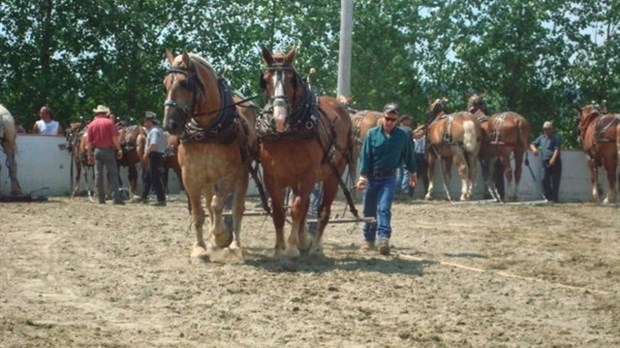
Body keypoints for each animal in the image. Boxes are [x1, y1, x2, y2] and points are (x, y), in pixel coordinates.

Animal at [162, 49, 256, 260]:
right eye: (165, 83)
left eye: (184, 83)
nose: (170, 124)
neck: (207, 130)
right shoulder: (189, 176)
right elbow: (199, 212)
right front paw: (200, 248)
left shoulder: (229, 174)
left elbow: (217, 205)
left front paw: (222, 236)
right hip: (206, 178)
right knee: (208, 201)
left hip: (243, 174)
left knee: (237, 207)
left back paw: (235, 245)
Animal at [256, 45, 354, 258]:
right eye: (265, 80)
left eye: (291, 79)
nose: (279, 119)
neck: (288, 134)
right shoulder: (271, 177)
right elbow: (279, 212)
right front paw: (279, 248)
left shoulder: (308, 176)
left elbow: (297, 209)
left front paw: (292, 247)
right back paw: (304, 240)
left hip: (333, 174)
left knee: (322, 209)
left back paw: (316, 246)